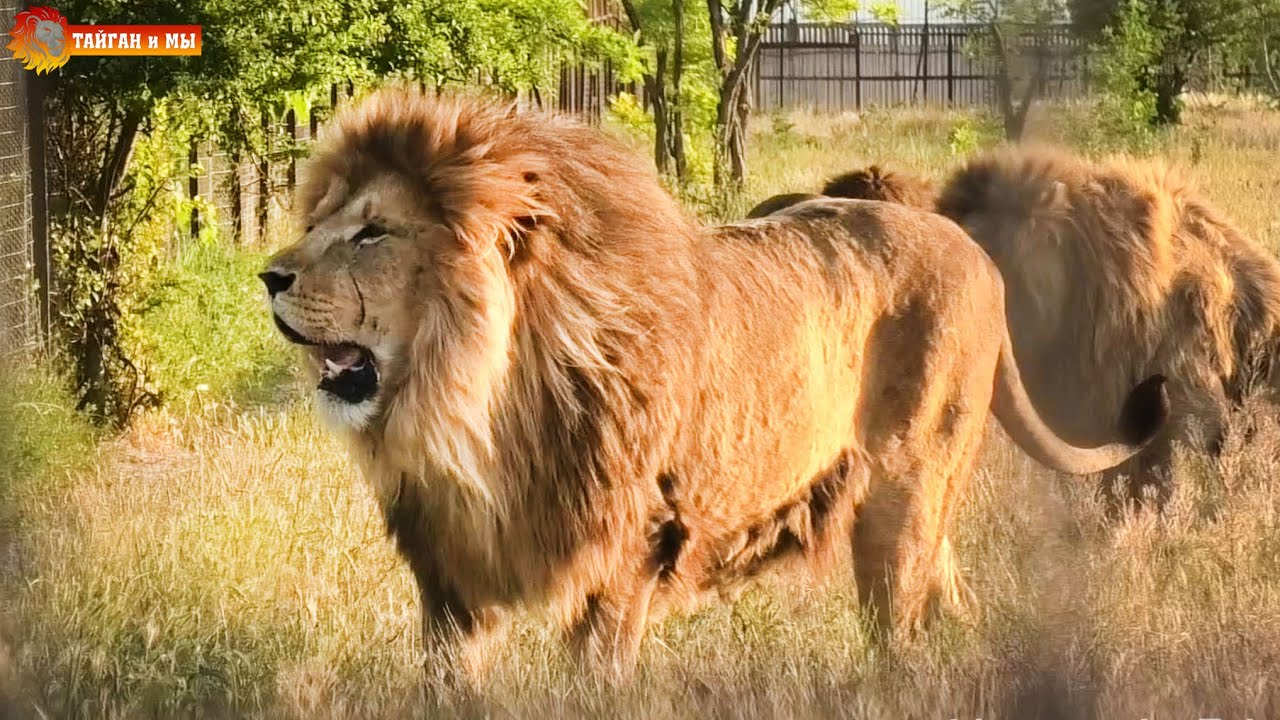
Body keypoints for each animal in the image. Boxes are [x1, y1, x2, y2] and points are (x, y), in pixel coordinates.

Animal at [261, 89, 1167, 682]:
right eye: (318, 222)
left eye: (374, 232)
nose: (267, 275)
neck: (478, 411)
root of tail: (964, 240)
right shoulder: (448, 584)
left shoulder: (628, 559)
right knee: (947, 594)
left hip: (907, 494)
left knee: (900, 629)